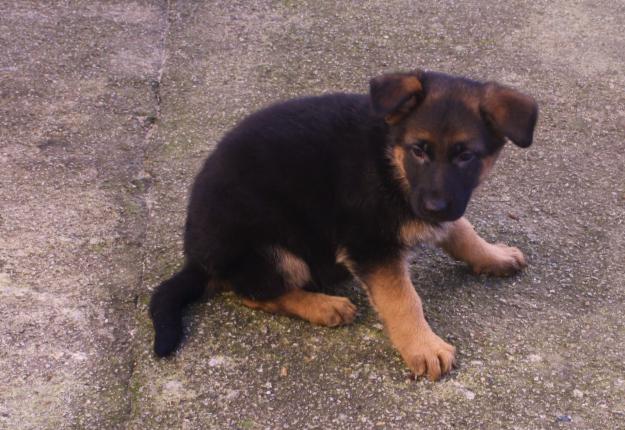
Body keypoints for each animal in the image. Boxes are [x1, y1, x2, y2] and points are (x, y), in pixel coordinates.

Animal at [150, 69, 536, 380]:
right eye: (419, 150)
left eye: (466, 156)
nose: (433, 206)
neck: (389, 159)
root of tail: (196, 261)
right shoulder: (371, 245)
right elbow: (403, 299)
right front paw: (424, 346)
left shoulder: (439, 204)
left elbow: (463, 232)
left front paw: (494, 256)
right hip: (275, 252)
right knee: (251, 293)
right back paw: (324, 306)